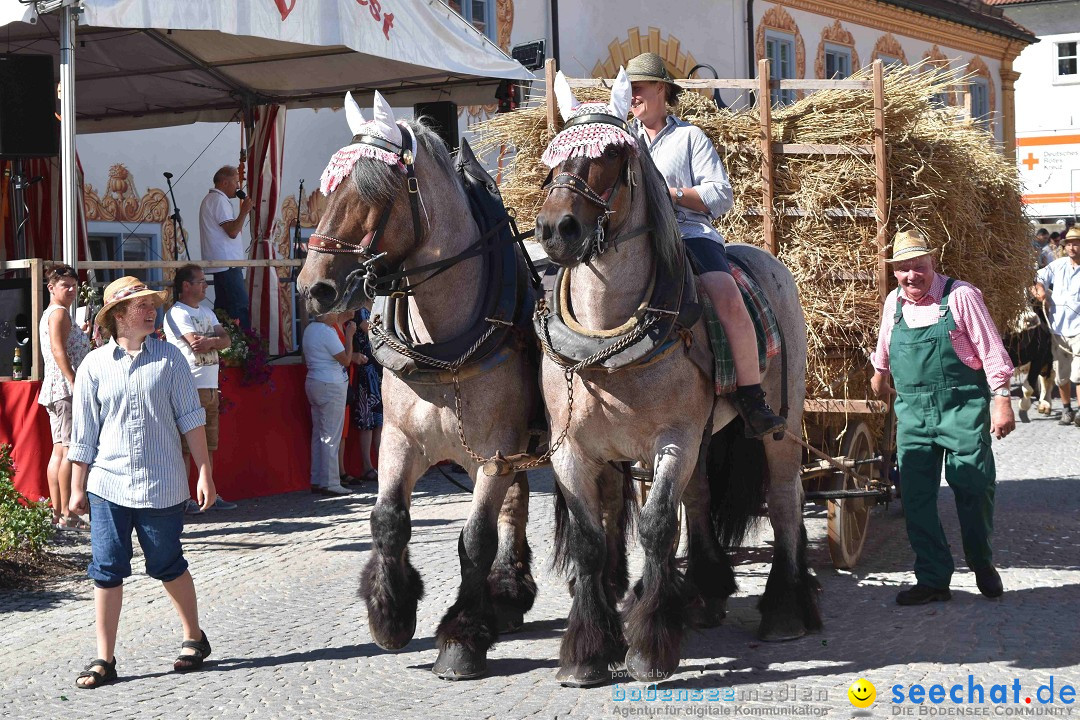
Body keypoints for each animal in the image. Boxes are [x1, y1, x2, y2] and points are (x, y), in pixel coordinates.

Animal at [295, 90, 540, 682]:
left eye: (373, 192)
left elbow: (475, 538)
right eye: (328, 188)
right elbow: (388, 519)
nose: (313, 289)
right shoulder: (400, 438)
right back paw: (508, 593)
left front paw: (461, 637)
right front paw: (390, 612)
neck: (445, 341)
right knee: (517, 504)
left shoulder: (495, 450)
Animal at [535, 70, 820, 686]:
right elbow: (592, 540)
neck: (607, 340)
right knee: (702, 494)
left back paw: (786, 607)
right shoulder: (573, 450)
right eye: (553, 156)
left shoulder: (674, 439)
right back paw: (707, 591)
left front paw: (648, 644)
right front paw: (588, 649)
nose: (556, 228)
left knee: (784, 497)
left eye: (611, 155)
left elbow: (658, 525)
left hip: (779, 425)